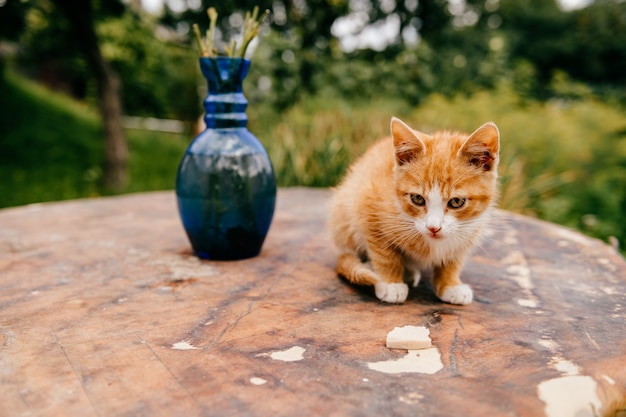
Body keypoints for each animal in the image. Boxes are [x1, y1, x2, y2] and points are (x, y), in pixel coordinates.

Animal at [326, 115, 498, 304]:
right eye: (417, 199)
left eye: (457, 202)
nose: (433, 228)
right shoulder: (367, 204)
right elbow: (384, 253)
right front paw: (390, 283)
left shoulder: (470, 230)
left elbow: (454, 259)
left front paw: (450, 284)